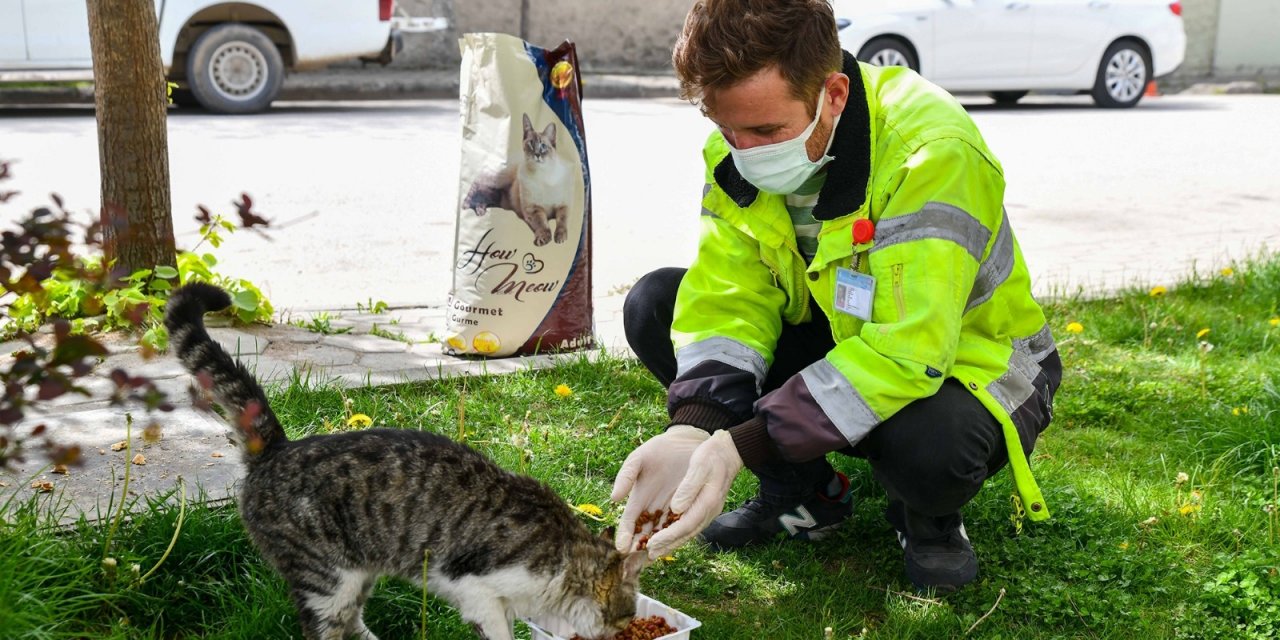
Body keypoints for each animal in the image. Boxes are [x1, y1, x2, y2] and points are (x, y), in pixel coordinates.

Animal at [163, 284, 640, 640]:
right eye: (629, 616)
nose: (625, 628)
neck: (562, 559)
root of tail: (277, 448)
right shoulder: (475, 587)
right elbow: (497, 627)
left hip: (358, 573)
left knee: (352, 623)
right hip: (327, 577)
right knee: (325, 627)